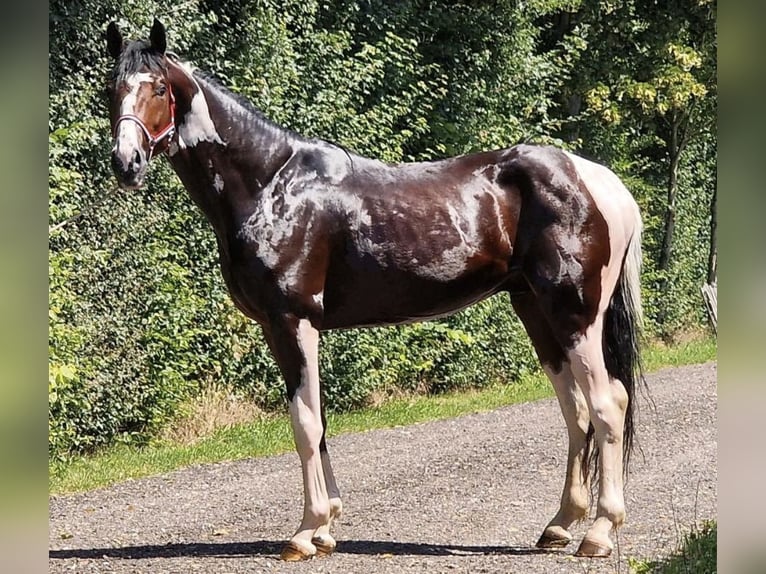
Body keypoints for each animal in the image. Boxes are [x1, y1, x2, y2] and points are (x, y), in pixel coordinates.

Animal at [106, 21, 648, 564]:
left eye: (158, 88)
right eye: (113, 89)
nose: (126, 163)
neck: (269, 185)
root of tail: (601, 181)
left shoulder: (292, 321)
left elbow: (305, 423)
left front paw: (306, 532)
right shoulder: (285, 328)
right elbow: (319, 419)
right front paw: (326, 529)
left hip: (575, 315)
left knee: (607, 404)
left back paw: (599, 532)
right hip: (536, 311)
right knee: (576, 410)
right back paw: (559, 525)